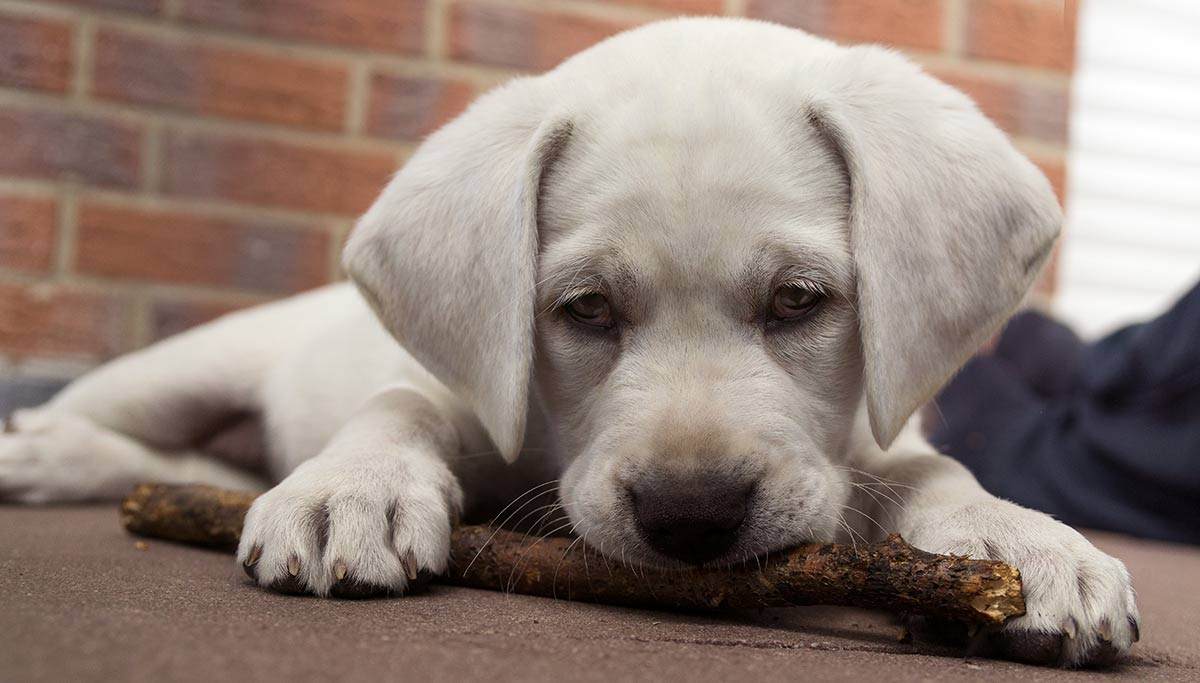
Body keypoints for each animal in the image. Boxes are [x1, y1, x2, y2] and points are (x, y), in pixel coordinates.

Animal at [4, 19, 1137, 667]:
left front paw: (1013, 541)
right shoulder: (469, 390)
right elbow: (399, 400)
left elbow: (930, 469)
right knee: (119, 422)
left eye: (799, 300)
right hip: (182, 369)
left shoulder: (866, 438)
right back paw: (40, 447)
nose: (692, 515)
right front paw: (348, 490)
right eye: (586, 309)